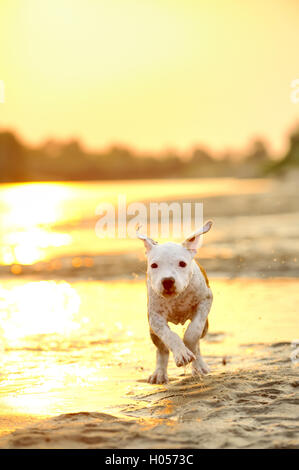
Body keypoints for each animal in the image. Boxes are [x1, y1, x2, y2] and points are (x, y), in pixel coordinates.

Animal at [138, 222, 213, 384]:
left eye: (182, 263)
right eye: (154, 265)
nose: (167, 281)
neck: (177, 297)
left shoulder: (205, 301)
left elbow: (193, 332)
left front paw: (189, 348)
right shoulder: (155, 318)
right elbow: (169, 336)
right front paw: (182, 353)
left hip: (206, 326)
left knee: (198, 340)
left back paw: (199, 366)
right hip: (152, 332)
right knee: (162, 350)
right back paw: (159, 374)